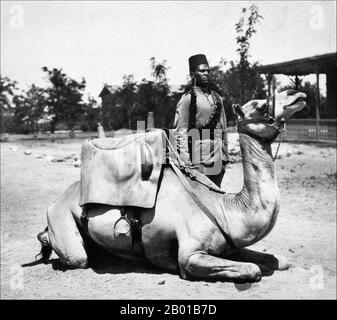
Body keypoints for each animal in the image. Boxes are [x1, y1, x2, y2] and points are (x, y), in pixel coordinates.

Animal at [36, 89, 304, 282]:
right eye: (259, 104)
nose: (297, 94)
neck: (225, 210)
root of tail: (55, 201)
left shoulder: (231, 248)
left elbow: (279, 260)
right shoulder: (190, 256)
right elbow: (252, 269)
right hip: (64, 224)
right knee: (77, 257)